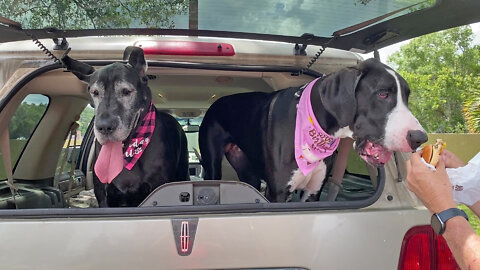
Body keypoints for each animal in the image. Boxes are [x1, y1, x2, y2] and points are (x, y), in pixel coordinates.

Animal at [199, 59, 428, 202]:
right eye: (382, 94)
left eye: (407, 96)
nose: (420, 138)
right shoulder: (278, 193)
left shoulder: (313, 192)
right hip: (212, 164)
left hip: (248, 171)